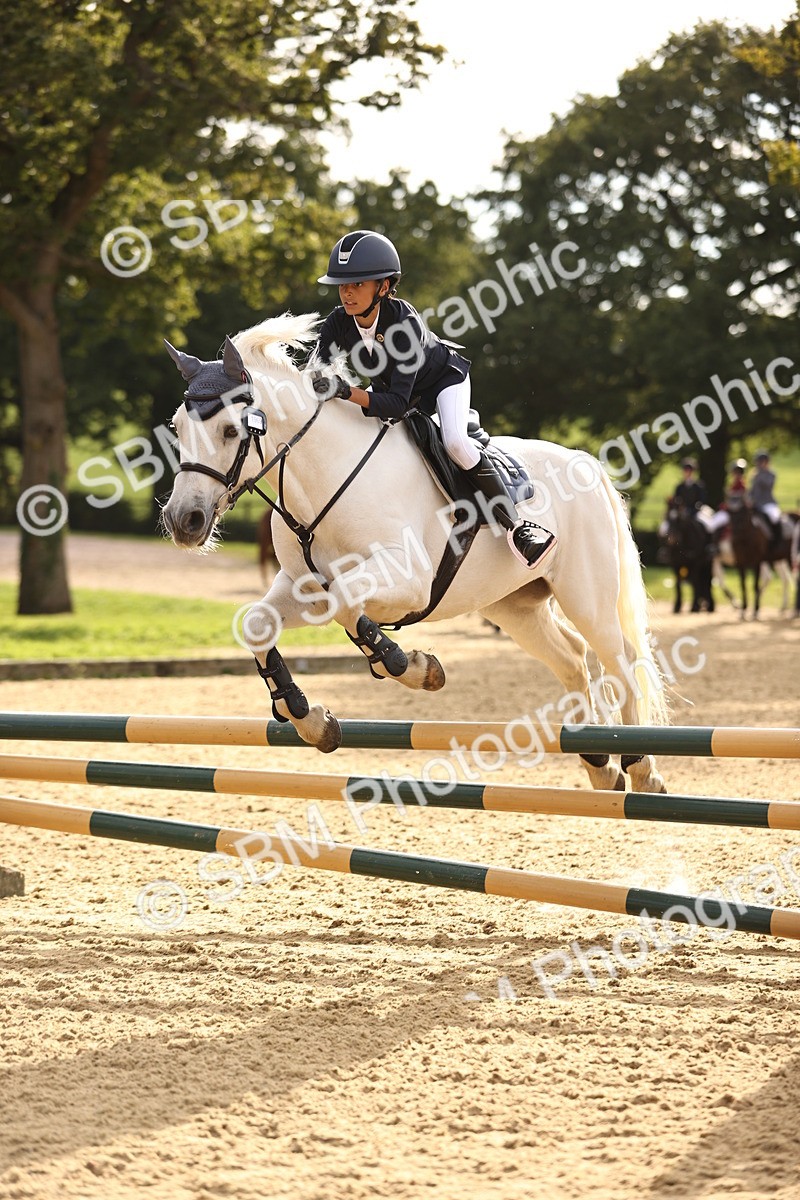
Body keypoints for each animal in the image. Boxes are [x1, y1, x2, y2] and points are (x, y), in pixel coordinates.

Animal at [161, 314, 669, 795]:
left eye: (230, 430)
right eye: (178, 427)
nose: (183, 521)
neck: (324, 477)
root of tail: (587, 463)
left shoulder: (409, 579)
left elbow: (348, 604)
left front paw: (412, 666)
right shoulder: (303, 587)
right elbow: (260, 623)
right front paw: (311, 719)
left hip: (586, 596)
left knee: (620, 661)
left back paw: (641, 768)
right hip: (515, 606)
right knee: (572, 657)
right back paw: (600, 765)